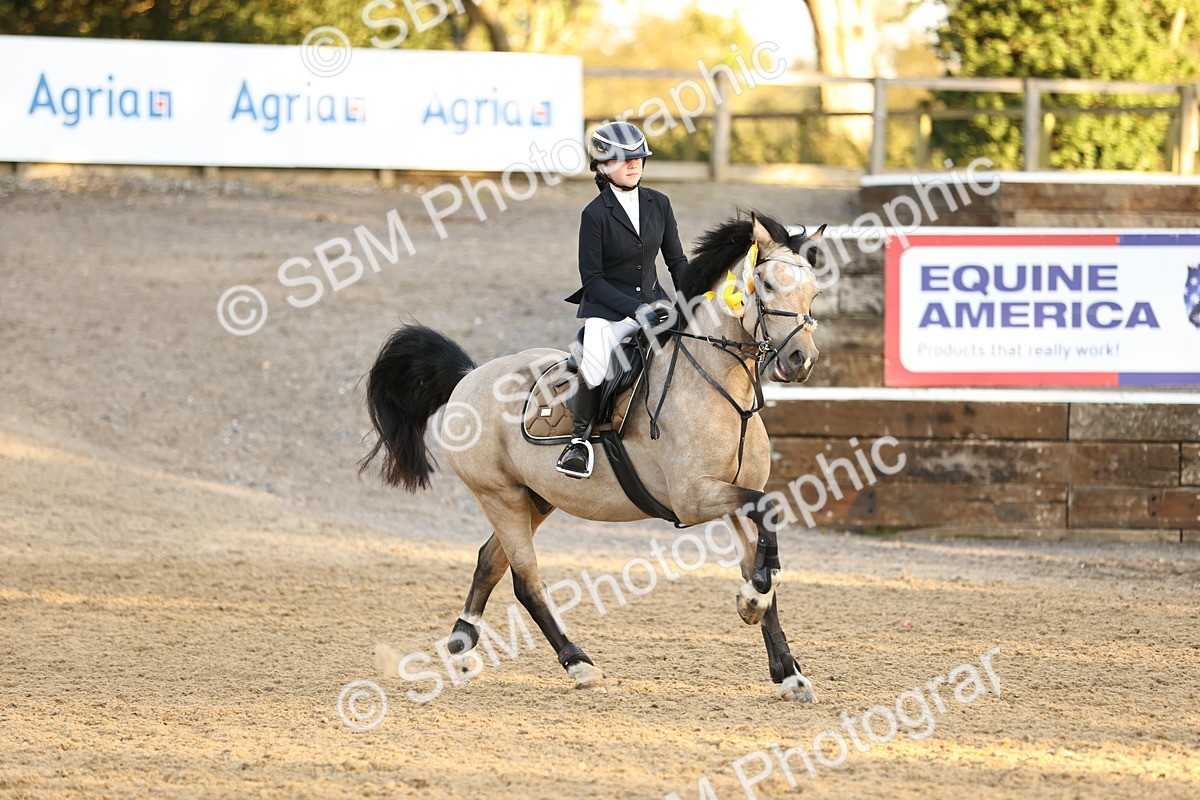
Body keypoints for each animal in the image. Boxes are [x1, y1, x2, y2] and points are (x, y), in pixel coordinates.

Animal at [360, 213, 825, 702]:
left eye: (814, 291)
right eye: (767, 285)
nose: (801, 360)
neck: (721, 387)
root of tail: (468, 377)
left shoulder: (733, 497)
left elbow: (764, 550)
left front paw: (787, 669)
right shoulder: (694, 499)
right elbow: (767, 519)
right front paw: (751, 600)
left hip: (534, 499)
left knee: (489, 561)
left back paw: (462, 646)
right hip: (500, 497)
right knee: (526, 581)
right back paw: (578, 663)